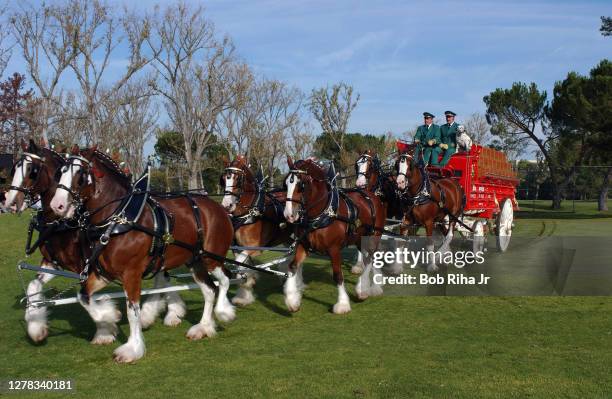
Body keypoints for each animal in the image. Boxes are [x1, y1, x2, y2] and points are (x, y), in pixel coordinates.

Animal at [49, 146, 234, 362]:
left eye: (80, 175)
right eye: (60, 172)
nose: (57, 205)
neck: (119, 219)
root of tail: (219, 208)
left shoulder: (132, 273)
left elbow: (132, 311)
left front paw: (132, 348)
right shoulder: (105, 273)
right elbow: (83, 296)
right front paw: (109, 316)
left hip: (211, 258)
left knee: (224, 280)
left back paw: (224, 312)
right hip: (194, 261)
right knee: (210, 290)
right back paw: (203, 328)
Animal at [220, 155, 292, 304]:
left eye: (237, 179)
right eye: (223, 179)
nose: (226, 205)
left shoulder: (254, 247)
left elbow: (240, 265)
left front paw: (248, 283)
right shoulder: (237, 247)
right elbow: (242, 265)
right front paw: (244, 294)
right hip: (286, 238)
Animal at [284, 156, 388, 312]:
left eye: (301, 184)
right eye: (285, 184)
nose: (289, 215)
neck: (323, 212)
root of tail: (370, 195)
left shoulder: (334, 249)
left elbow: (338, 275)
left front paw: (342, 304)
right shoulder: (303, 244)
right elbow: (293, 266)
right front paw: (292, 300)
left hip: (374, 235)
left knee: (370, 258)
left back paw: (363, 290)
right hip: (359, 238)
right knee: (369, 257)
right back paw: (373, 285)